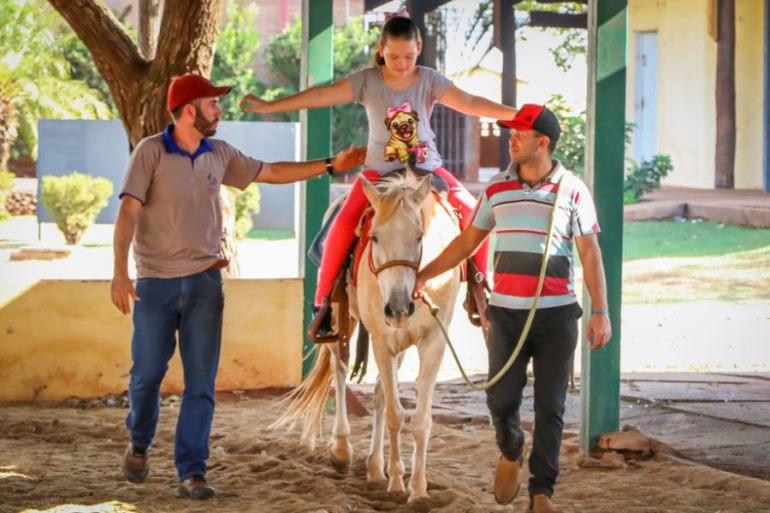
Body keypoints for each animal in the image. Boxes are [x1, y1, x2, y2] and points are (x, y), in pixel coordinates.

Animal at [278, 171, 462, 500]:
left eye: (419, 236)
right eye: (374, 236)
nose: (398, 307)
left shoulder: (433, 343)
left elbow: (419, 419)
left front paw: (417, 489)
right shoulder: (382, 341)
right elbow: (395, 414)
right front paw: (397, 482)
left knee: (378, 393)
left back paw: (376, 467)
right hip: (342, 318)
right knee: (339, 370)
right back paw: (342, 449)